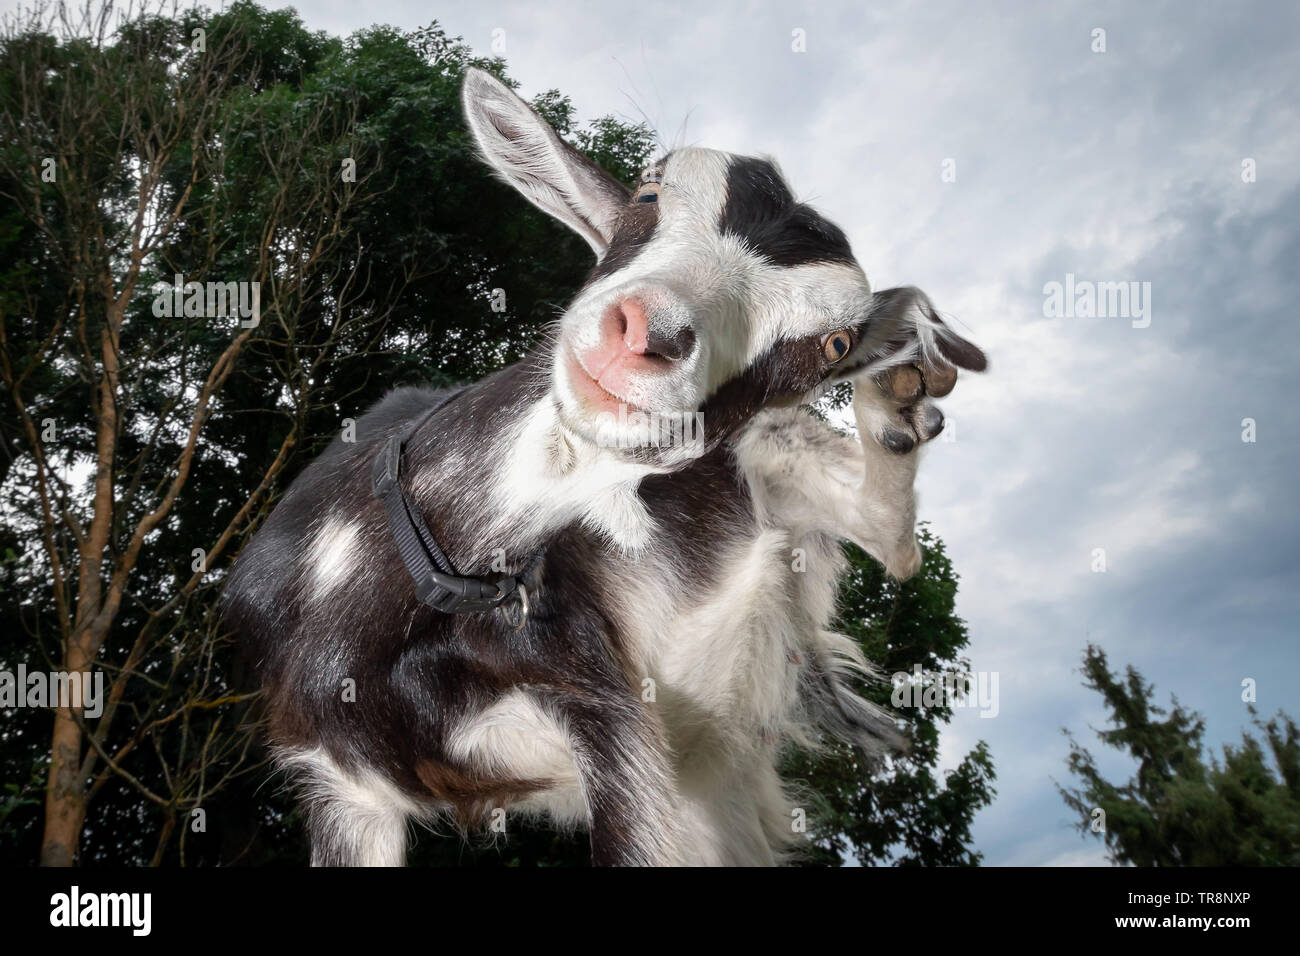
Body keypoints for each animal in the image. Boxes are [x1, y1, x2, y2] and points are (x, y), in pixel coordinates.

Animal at [223, 69, 982, 868]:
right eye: (649, 193)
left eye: (831, 346)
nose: (648, 333)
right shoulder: (336, 784)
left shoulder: (607, 715)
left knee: (894, 544)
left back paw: (900, 400)